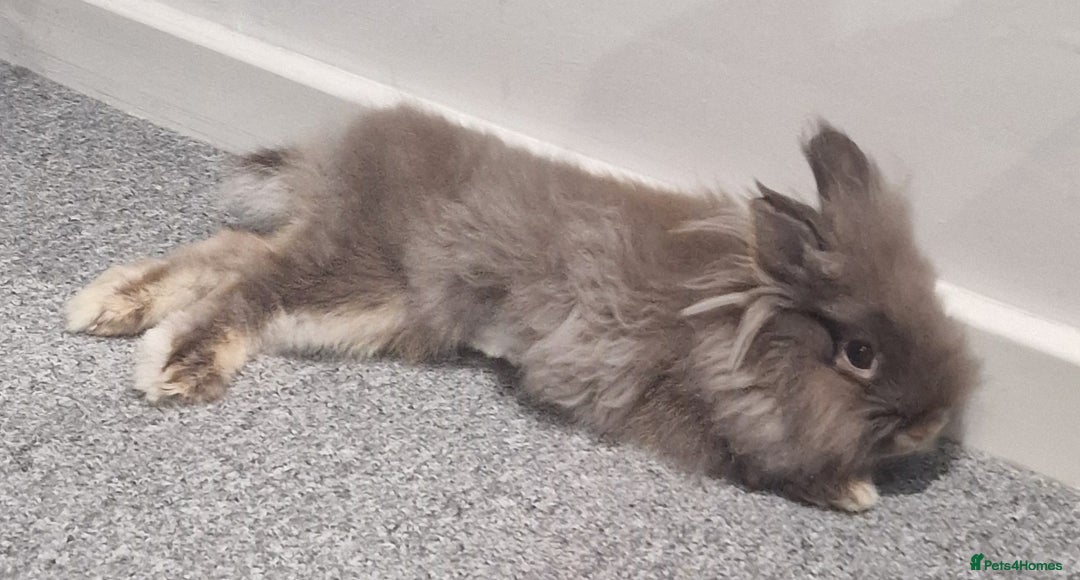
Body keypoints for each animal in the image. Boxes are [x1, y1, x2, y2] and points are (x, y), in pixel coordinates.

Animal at [66, 104, 978, 512]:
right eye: (858, 354)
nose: (932, 428)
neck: (733, 324)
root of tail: (354, 146)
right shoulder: (684, 407)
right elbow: (752, 459)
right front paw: (852, 490)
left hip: (383, 303)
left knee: (233, 255)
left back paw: (109, 304)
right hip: (362, 272)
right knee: (251, 288)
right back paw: (172, 360)